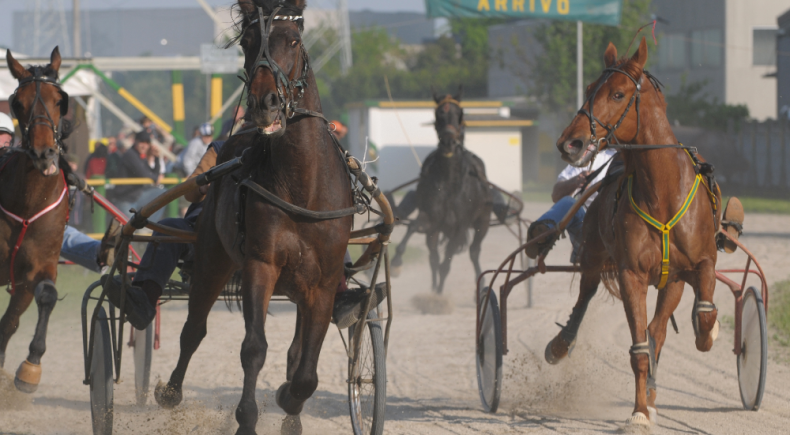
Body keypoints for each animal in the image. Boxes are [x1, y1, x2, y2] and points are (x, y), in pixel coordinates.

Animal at [153, 1, 352, 434]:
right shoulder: (261, 264)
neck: (303, 184)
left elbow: (307, 370)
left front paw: (288, 399)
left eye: (292, 40)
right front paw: (247, 417)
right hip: (212, 255)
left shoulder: (325, 281)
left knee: (297, 352)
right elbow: (254, 348)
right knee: (193, 329)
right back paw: (171, 392)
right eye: (247, 41)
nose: (264, 102)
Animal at [392, 87, 496, 294]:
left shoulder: (461, 225)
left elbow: (448, 261)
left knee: (473, 252)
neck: (449, 182)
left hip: (483, 222)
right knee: (433, 255)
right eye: (438, 114)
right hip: (436, 230)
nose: (448, 142)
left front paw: (439, 292)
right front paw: (396, 262)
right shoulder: (431, 217)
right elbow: (413, 227)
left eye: (460, 113)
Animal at [544, 38, 724, 430]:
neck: (663, 194)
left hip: (671, 281)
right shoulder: (631, 274)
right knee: (586, 294)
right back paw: (562, 344)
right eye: (588, 89)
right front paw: (640, 411)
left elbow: (701, 315)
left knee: (659, 330)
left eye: (618, 93)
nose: (569, 143)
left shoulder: (699, 263)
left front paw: (709, 333)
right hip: (594, 254)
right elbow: (640, 349)